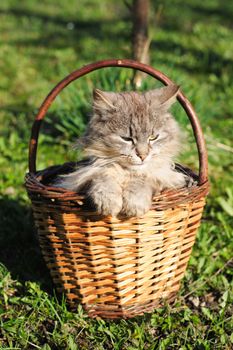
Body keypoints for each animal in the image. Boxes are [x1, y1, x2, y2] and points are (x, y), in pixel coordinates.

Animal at [55, 84, 190, 216]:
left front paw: (134, 205)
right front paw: (108, 203)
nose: (143, 155)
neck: (126, 172)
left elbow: (142, 180)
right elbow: (104, 177)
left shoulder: (165, 178)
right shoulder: (82, 177)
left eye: (153, 137)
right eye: (126, 138)